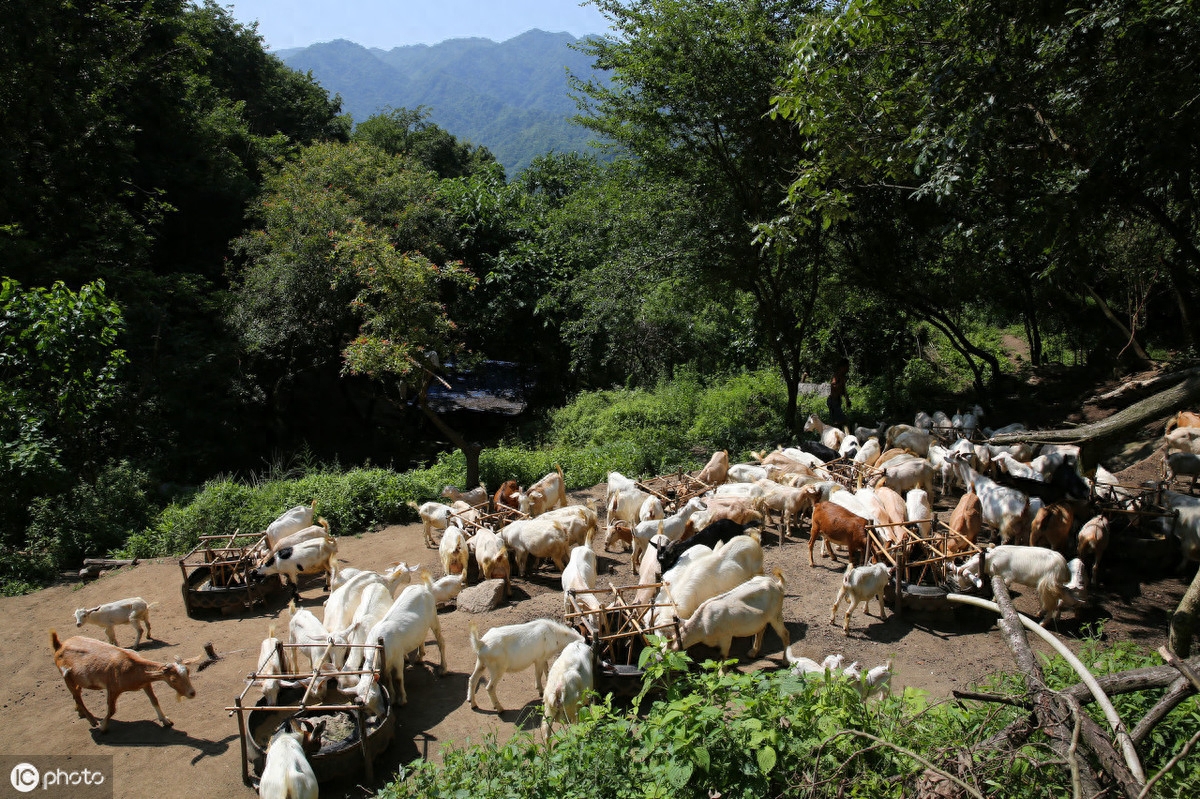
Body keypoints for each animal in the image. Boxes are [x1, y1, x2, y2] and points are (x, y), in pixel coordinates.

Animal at [49, 623, 199, 729]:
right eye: (173, 680)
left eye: (188, 672)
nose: (192, 693)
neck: (132, 667)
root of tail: (59, 645)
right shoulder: (113, 688)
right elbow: (111, 709)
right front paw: (103, 726)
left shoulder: (146, 684)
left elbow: (154, 700)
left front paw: (166, 720)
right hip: (66, 677)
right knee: (76, 696)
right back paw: (92, 720)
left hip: (76, 679)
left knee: (77, 693)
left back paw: (80, 712)